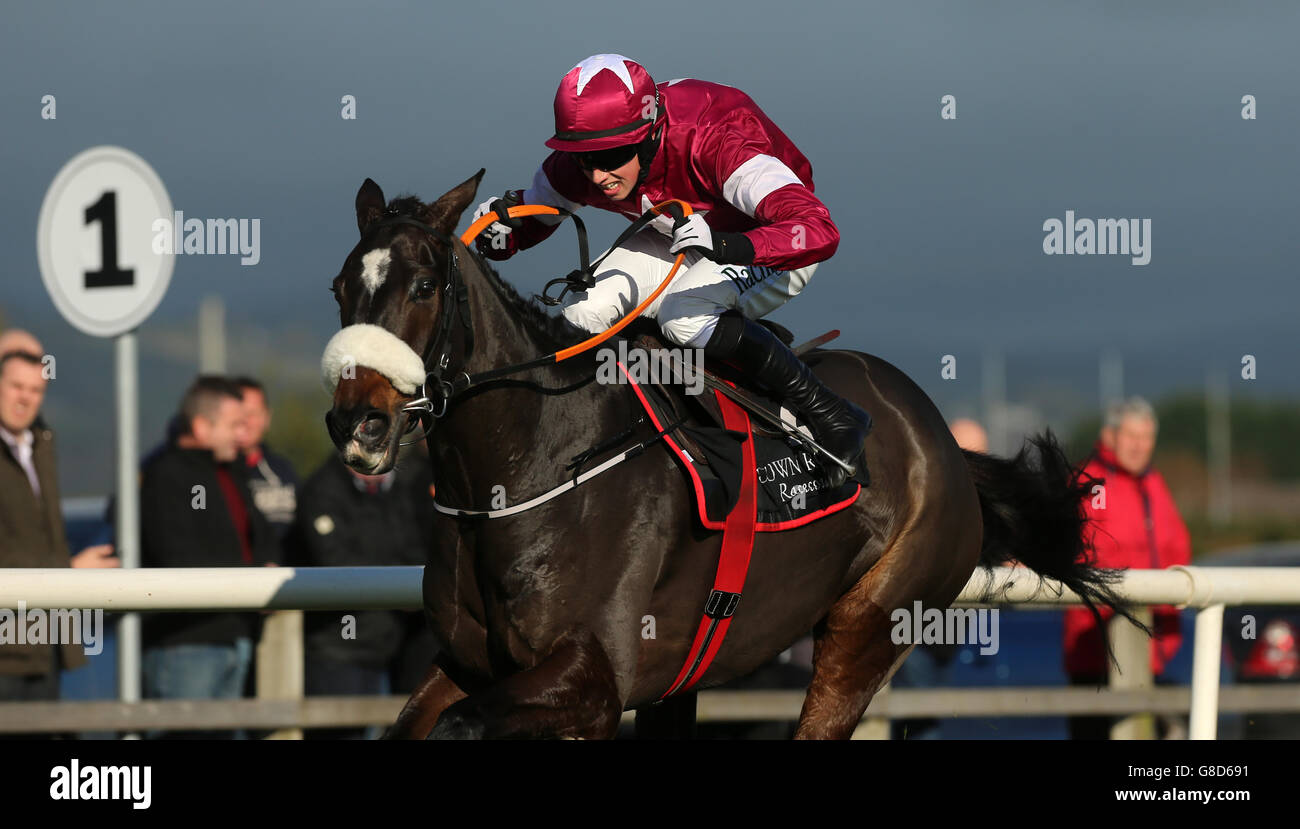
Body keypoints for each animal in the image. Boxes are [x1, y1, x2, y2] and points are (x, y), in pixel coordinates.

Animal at [319, 168, 1123, 738]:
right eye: (339, 287)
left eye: (425, 285)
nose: (358, 423)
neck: (534, 466)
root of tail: (942, 439)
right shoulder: (469, 663)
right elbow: (414, 723)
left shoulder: (591, 677)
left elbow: (461, 726)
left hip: (870, 624)